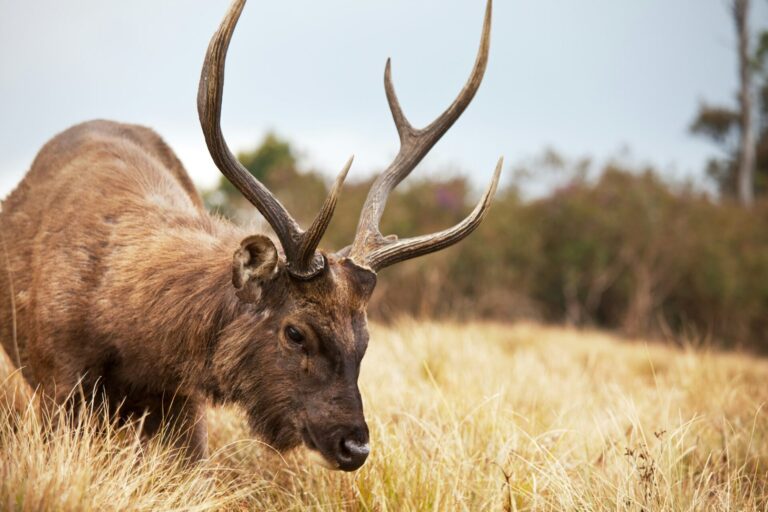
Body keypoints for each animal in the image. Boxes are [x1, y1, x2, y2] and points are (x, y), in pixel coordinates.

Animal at [0, 0, 500, 472]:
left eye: (365, 339)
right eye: (295, 332)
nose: (355, 446)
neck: (125, 333)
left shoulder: (183, 402)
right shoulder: (58, 387)